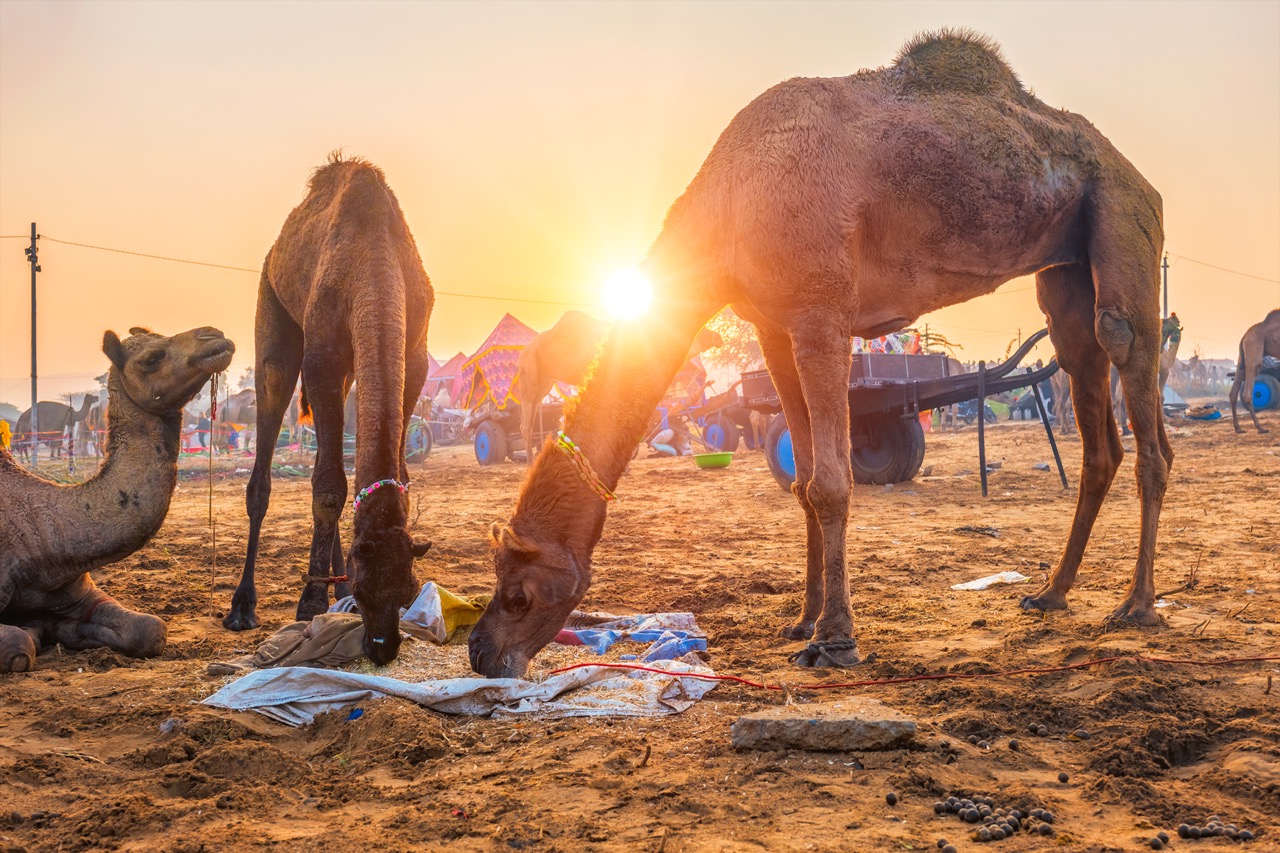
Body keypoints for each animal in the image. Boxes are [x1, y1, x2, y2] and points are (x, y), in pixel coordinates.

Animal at [0, 326, 234, 672]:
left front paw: (55, 628)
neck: (43, 543)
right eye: (151, 358)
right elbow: (18, 645)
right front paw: (33, 630)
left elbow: (150, 628)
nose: (214, 335)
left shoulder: (75, 590)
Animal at [223, 154, 433, 666]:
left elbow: (389, 469)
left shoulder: (415, 355)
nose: (382, 647)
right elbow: (328, 486)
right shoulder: (322, 357)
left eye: (406, 591)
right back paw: (243, 606)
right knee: (272, 401)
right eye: (365, 592)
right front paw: (311, 600)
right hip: (272, 309)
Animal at [517, 313, 723, 462]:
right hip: (529, 369)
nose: (719, 337)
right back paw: (529, 463)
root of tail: (526, 348)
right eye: (703, 330)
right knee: (526, 421)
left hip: (545, 379)